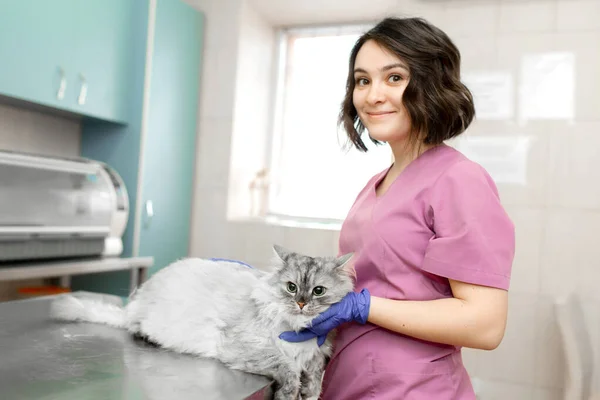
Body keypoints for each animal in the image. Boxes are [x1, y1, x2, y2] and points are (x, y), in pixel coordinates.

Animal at [51, 245, 354, 398]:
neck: (299, 330)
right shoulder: (248, 350)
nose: (301, 303)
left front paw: (309, 393)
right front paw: (290, 394)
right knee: (132, 326)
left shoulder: (316, 357)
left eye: (318, 291)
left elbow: (313, 380)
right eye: (291, 287)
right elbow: (289, 371)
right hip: (145, 320)